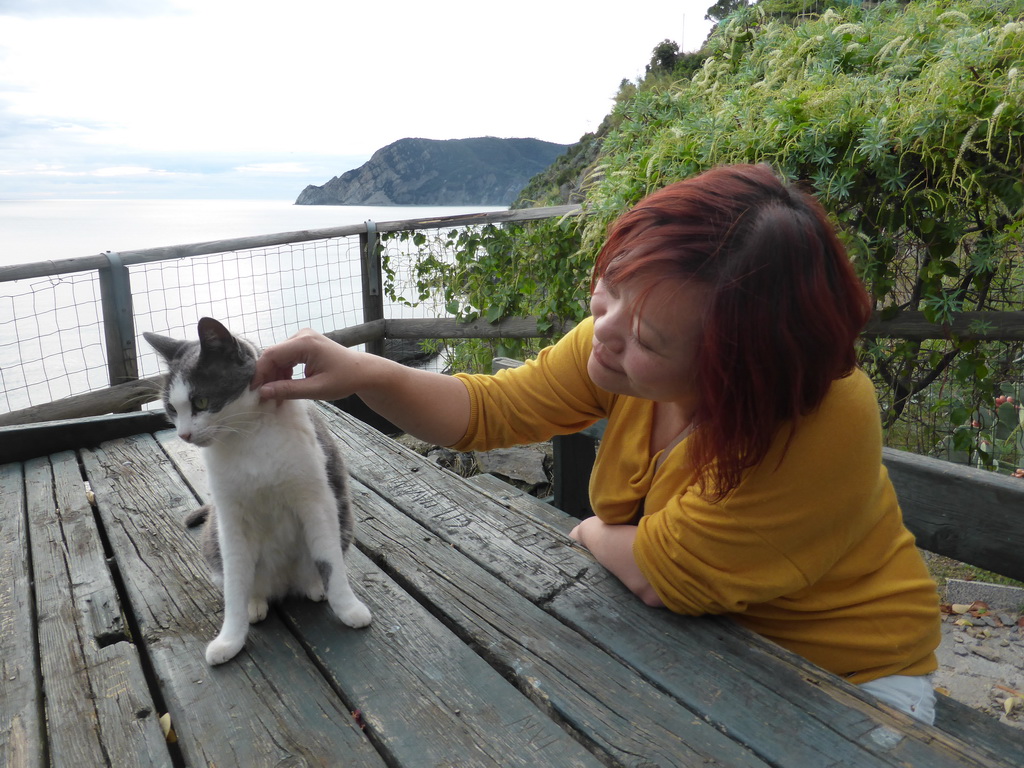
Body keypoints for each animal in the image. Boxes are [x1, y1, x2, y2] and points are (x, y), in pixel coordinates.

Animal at [142, 319, 370, 667]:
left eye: (201, 402)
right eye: (171, 409)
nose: (184, 434)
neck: (247, 435)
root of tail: (283, 584)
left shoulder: (317, 499)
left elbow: (329, 560)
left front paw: (347, 608)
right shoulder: (230, 517)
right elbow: (235, 581)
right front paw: (230, 639)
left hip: (342, 518)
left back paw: (314, 585)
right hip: (214, 541)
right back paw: (256, 602)